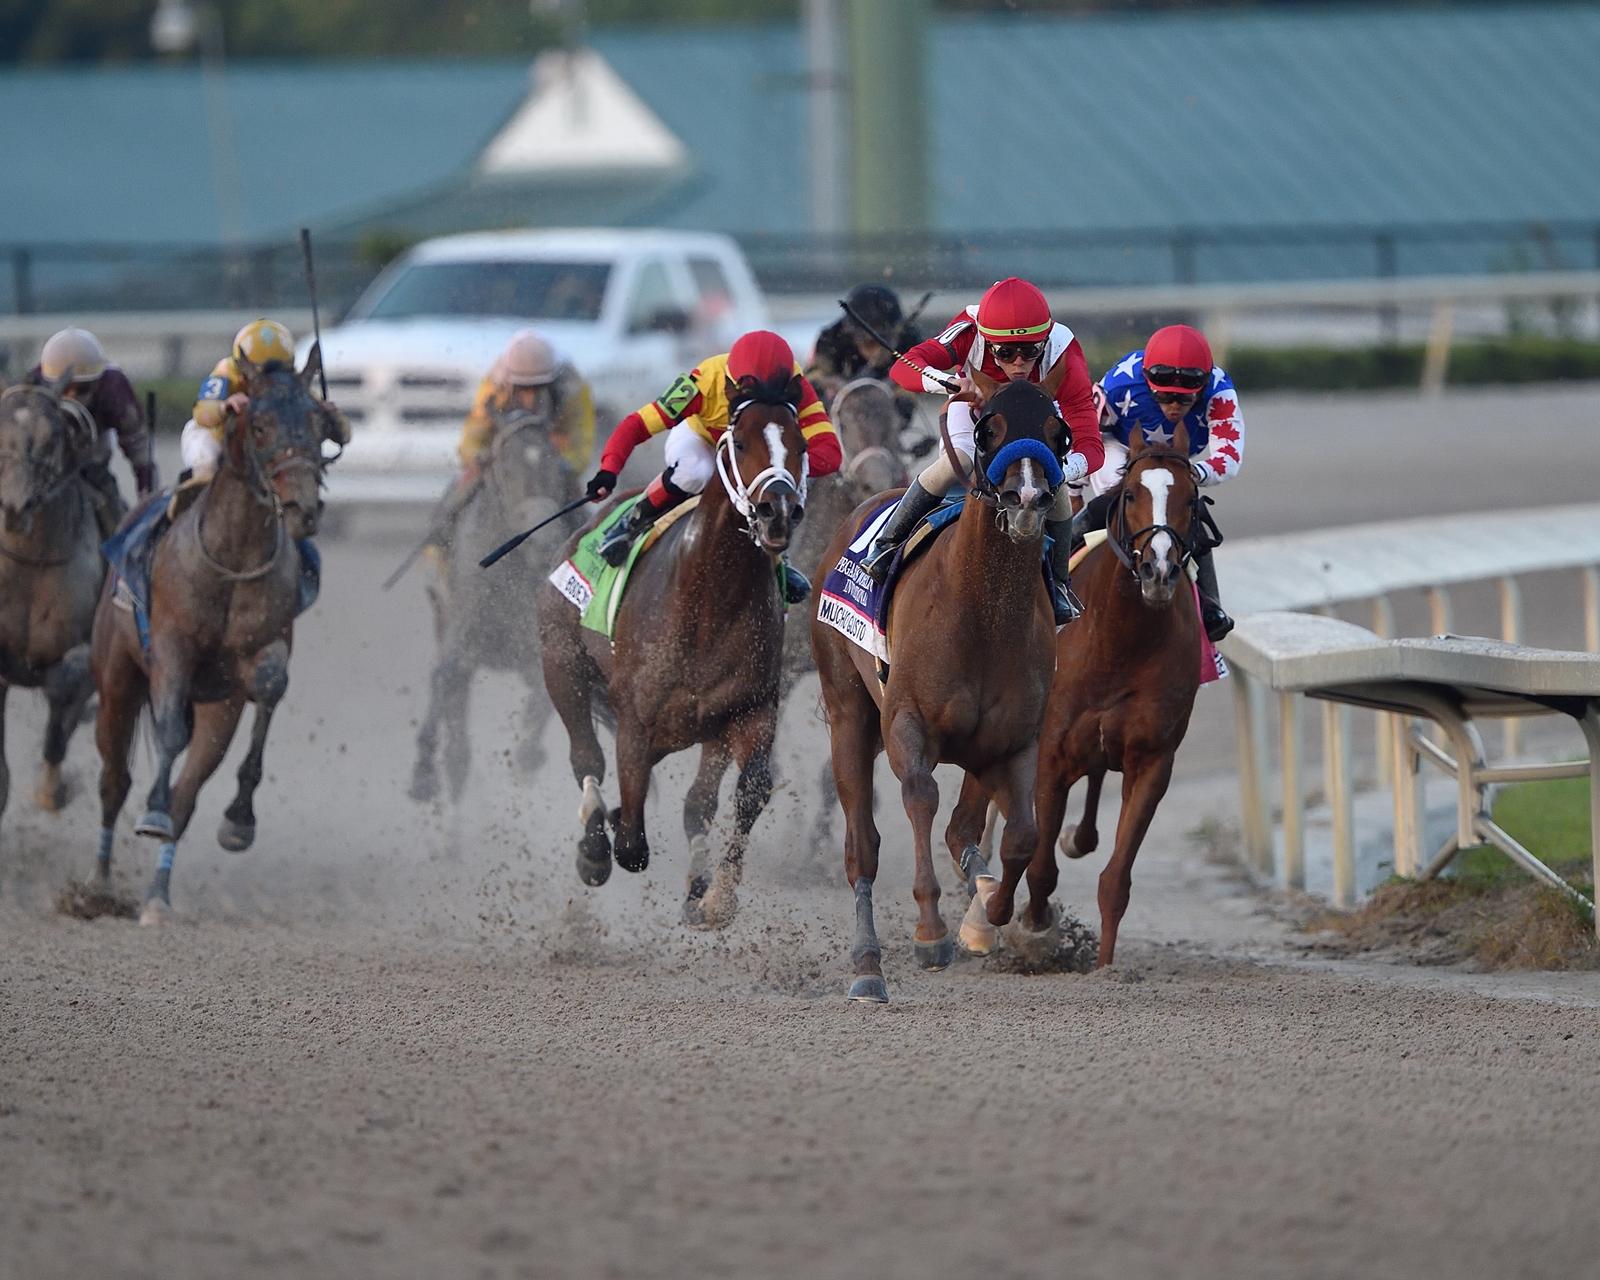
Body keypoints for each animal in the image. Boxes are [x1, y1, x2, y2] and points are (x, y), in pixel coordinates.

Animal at [91, 347, 328, 921]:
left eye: (319, 423)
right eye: (260, 426)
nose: (304, 510)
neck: (232, 557)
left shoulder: (262, 652)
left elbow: (269, 686)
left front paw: (239, 820)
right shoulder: (171, 650)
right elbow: (169, 732)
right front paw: (150, 813)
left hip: (218, 710)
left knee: (187, 793)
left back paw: (157, 897)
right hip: (116, 681)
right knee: (114, 780)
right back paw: (98, 885)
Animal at [409, 409, 585, 800]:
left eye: (558, 468)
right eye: (504, 470)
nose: (545, 541)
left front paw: (528, 756)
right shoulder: (462, 630)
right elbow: (447, 674)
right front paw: (423, 773)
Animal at [540, 395, 812, 928]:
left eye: (801, 444)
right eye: (740, 442)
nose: (777, 513)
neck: (710, 602)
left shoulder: (747, 711)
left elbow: (744, 792)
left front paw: (712, 896)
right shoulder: (635, 722)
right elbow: (631, 844)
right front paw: (610, 833)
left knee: (693, 800)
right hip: (561, 665)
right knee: (587, 758)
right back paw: (593, 847)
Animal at [812, 374, 1062, 992]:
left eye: (1056, 430)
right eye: (989, 427)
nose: (1027, 499)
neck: (982, 612)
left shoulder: (1015, 741)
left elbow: (1021, 834)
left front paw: (993, 913)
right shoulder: (907, 723)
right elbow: (921, 796)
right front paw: (931, 931)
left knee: (962, 832)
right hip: (848, 712)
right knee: (862, 846)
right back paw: (867, 964)